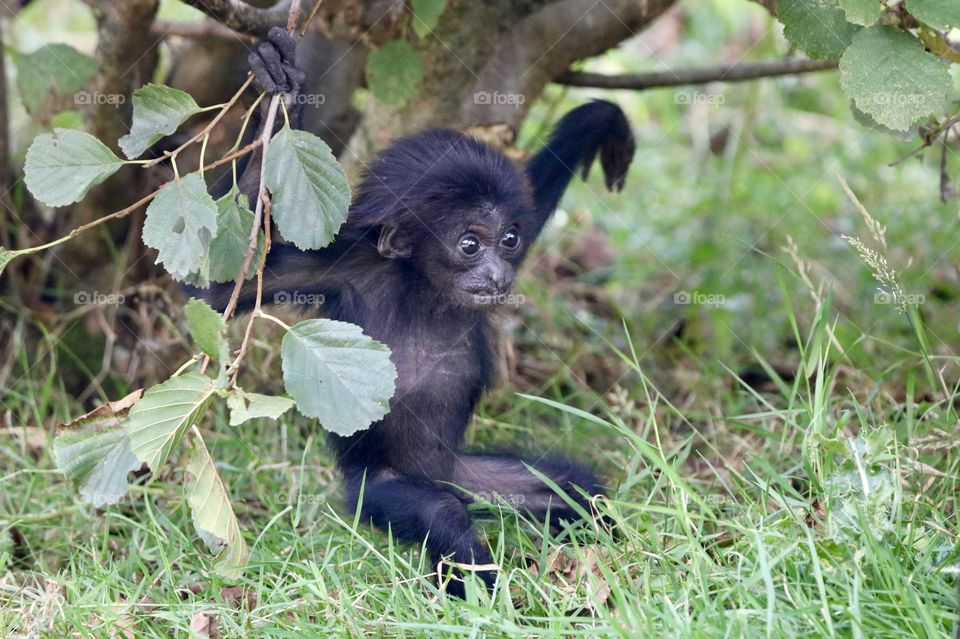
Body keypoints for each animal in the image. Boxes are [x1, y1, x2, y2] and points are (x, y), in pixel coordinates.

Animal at [194, 28, 635, 597]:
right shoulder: (346, 271)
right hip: (380, 489)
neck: (422, 289)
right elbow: (221, 287)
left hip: (467, 472)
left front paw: (602, 120)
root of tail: (443, 477)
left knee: (574, 490)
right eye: (470, 244)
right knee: (442, 511)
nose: (499, 274)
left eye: (510, 240)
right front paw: (275, 86)